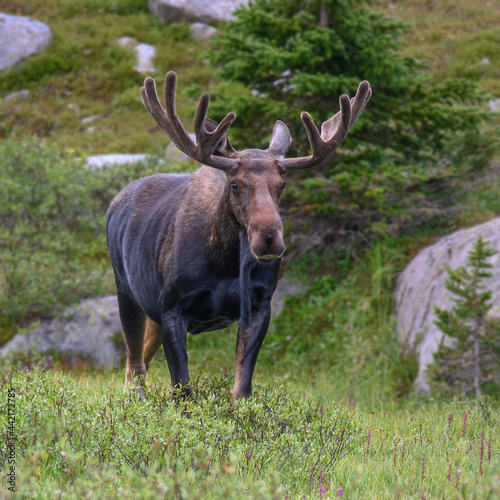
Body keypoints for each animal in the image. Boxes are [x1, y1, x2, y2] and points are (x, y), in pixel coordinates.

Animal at [105, 71, 372, 398]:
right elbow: (183, 387)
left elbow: (242, 387)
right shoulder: (172, 307)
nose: (269, 238)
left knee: (141, 360)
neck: (227, 264)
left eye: (282, 185)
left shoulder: (259, 305)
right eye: (235, 184)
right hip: (126, 290)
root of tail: (115, 201)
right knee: (133, 366)